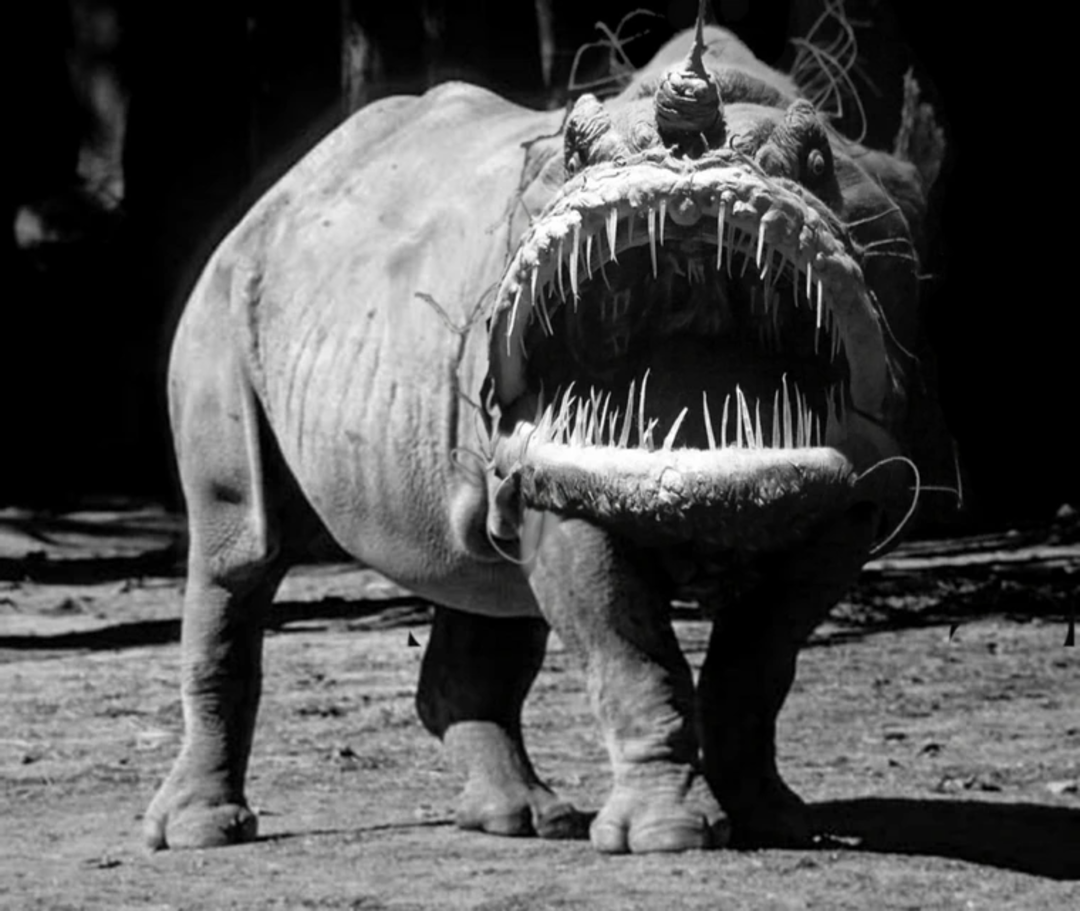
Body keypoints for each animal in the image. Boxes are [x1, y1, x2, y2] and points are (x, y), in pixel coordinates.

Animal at [145, 11, 947, 854]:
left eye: (819, 159)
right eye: (574, 155)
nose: (687, 156)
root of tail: (276, 192)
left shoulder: (857, 494)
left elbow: (758, 664)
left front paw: (778, 822)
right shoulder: (557, 477)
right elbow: (632, 654)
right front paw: (670, 838)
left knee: (477, 572)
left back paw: (521, 820)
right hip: (227, 288)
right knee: (241, 549)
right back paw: (201, 833)